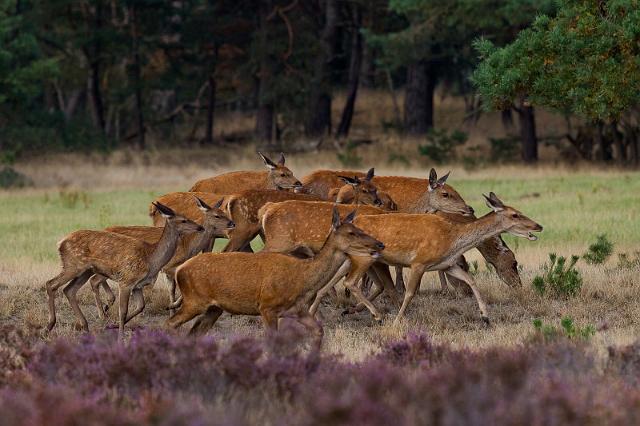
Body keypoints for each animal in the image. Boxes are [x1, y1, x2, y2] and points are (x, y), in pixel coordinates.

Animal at [45, 202, 204, 336]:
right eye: (183, 220)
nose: (200, 227)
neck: (151, 259)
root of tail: (60, 243)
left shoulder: (138, 285)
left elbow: (141, 306)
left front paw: (115, 326)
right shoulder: (126, 280)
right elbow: (123, 311)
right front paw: (120, 336)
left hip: (86, 270)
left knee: (69, 290)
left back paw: (85, 326)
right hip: (73, 265)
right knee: (51, 284)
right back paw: (50, 325)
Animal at [87, 197, 232, 316]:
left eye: (225, 213)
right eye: (217, 216)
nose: (232, 223)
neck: (187, 246)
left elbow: (172, 290)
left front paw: (171, 309)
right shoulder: (168, 267)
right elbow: (175, 288)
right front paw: (172, 308)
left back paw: (107, 306)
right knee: (94, 280)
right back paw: (102, 312)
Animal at [168, 207, 382, 350]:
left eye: (360, 229)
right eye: (352, 232)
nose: (379, 244)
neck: (302, 279)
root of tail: (180, 270)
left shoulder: (298, 310)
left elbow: (319, 331)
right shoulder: (267, 306)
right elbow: (272, 342)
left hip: (214, 308)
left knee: (193, 333)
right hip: (195, 300)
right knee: (171, 322)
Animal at [350, 193, 540, 326]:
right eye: (515, 214)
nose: (538, 226)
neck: (452, 241)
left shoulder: (447, 264)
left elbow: (471, 280)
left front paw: (485, 317)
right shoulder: (419, 262)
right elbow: (410, 293)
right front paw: (397, 321)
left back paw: (354, 309)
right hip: (362, 257)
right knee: (351, 282)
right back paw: (375, 315)